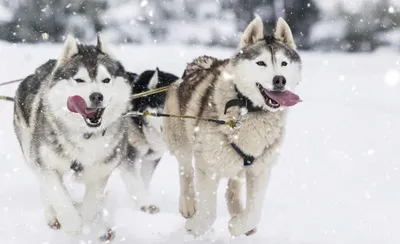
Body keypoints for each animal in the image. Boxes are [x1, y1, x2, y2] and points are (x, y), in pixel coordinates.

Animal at [13, 35, 159, 239]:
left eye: (106, 80)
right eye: (79, 80)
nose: (97, 96)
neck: (86, 135)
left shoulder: (101, 171)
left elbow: (91, 204)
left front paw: (88, 225)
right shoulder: (46, 166)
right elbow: (60, 198)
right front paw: (73, 224)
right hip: (31, 152)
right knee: (45, 190)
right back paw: (53, 216)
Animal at [164, 16, 302, 236]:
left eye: (284, 63)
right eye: (261, 63)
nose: (279, 80)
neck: (249, 109)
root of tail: (199, 63)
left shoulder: (261, 169)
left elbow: (254, 213)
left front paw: (237, 225)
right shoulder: (207, 166)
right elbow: (208, 212)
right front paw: (195, 226)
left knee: (233, 186)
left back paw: (236, 210)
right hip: (181, 140)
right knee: (185, 170)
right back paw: (188, 204)